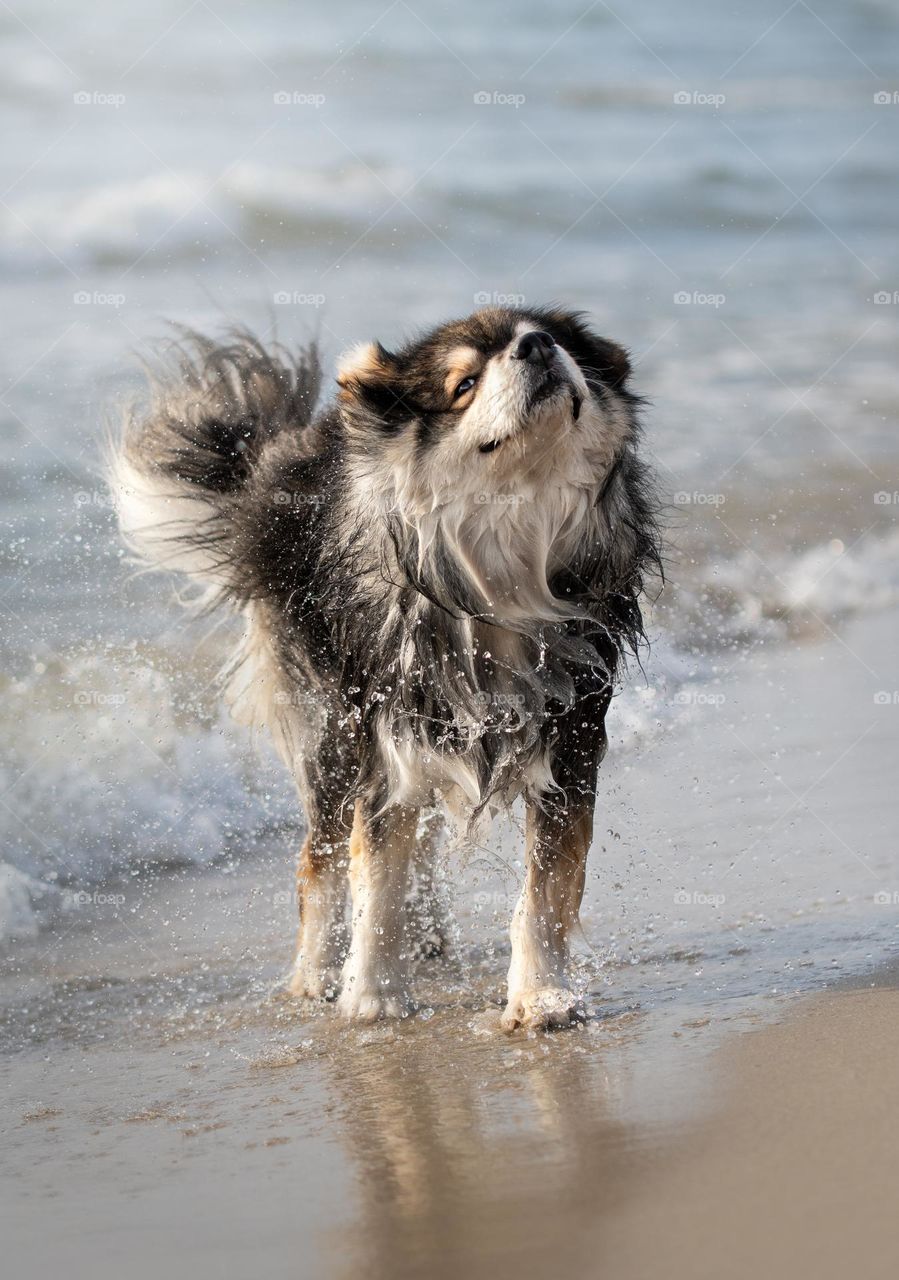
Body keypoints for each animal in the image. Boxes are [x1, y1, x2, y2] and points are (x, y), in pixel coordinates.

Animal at [112, 307, 660, 1029]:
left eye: (559, 340)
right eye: (463, 384)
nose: (537, 345)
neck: (502, 571)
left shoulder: (568, 740)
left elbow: (544, 889)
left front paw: (541, 998)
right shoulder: (385, 732)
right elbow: (375, 877)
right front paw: (371, 999)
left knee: (417, 840)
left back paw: (427, 938)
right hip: (332, 731)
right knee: (319, 856)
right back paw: (315, 974)